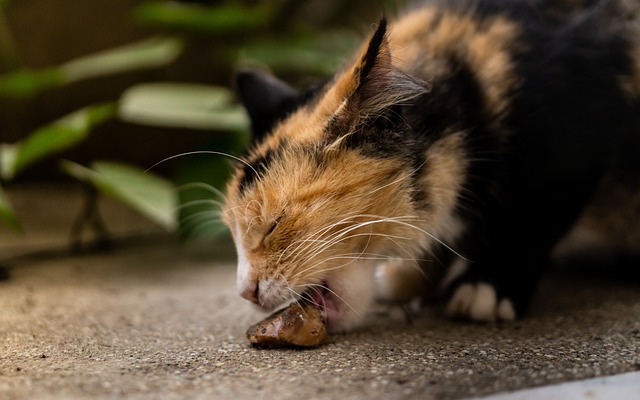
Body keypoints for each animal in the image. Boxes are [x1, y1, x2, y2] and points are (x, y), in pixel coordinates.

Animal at [221, 0, 640, 332]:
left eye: (273, 225)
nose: (245, 292)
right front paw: (410, 278)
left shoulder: (584, 123)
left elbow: (535, 213)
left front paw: (487, 286)